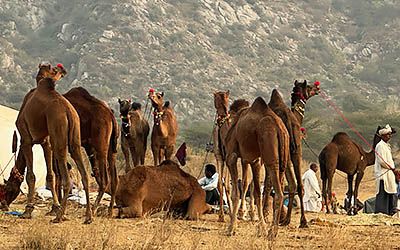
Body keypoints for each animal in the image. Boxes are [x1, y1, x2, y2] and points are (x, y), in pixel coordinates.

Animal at [15, 64, 92, 223]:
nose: (62, 71)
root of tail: (68, 111)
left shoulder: (26, 140)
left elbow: (31, 176)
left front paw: (28, 210)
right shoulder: (47, 143)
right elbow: (50, 176)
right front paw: (54, 207)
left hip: (59, 136)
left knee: (67, 180)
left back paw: (60, 216)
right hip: (74, 140)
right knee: (84, 175)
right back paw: (88, 216)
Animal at [62, 86, 119, 215]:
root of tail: (111, 115)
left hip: (100, 143)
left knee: (104, 179)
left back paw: (93, 209)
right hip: (111, 147)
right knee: (113, 177)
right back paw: (109, 211)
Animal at [223, 96, 290, 237]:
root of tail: (280, 129)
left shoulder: (231, 156)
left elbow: (235, 194)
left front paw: (231, 228)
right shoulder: (255, 160)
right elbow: (257, 193)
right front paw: (261, 228)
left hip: (270, 154)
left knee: (279, 193)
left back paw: (272, 232)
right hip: (283, 158)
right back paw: (272, 230)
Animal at [268, 79, 320, 227]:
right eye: (309, 87)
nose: (317, 88)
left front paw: (283, 218)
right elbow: (292, 184)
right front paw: (285, 219)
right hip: (296, 151)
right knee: (299, 185)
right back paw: (303, 221)